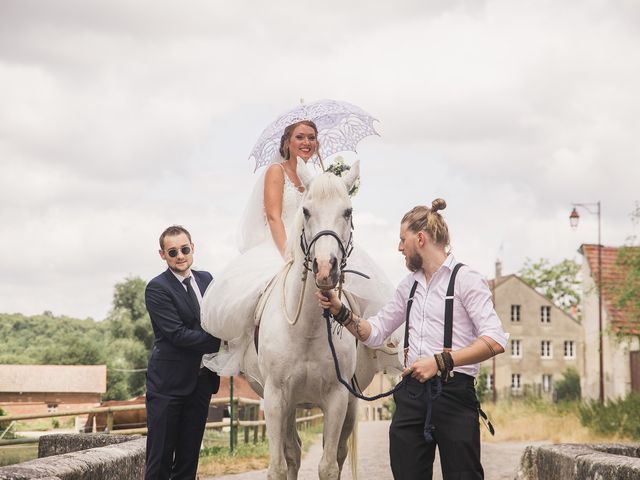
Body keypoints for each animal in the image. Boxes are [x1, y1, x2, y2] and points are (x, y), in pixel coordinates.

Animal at [242, 161, 398, 480]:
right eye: (306, 211)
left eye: (348, 211)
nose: (325, 269)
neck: (309, 331)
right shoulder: (275, 399)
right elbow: (278, 466)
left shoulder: (337, 399)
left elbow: (328, 465)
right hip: (290, 407)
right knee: (293, 453)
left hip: (350, 405)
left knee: (335, 454)